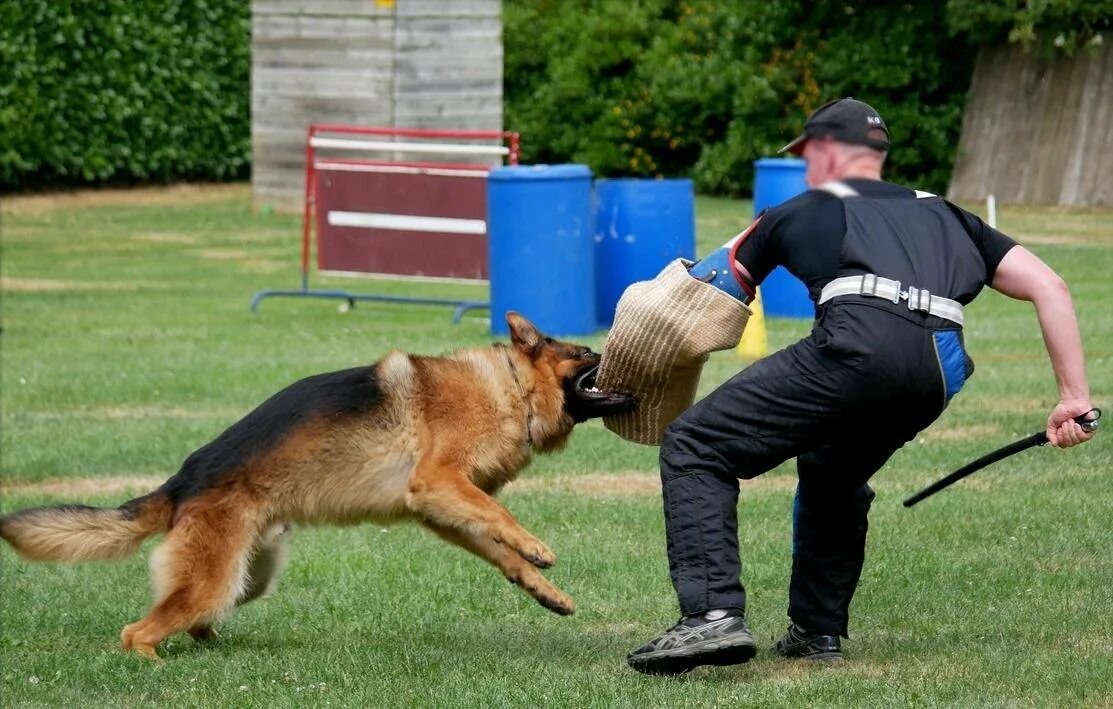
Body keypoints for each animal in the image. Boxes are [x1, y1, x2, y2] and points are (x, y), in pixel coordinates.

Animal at [2, 313, 636, 658]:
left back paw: (214, 647)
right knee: (136, 632)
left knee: (193, 617)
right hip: (213, 579)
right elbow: (501, 521)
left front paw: (543, 589)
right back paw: (155, 661)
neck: (508, 390)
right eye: (586, 352)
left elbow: (498, 551)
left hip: (245, 577)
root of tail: (180, 483)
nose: (615, 352)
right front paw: (537, 546)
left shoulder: (439, 509)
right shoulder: (438, 483)